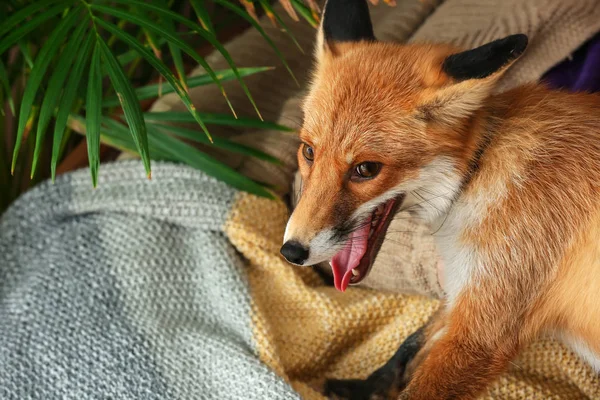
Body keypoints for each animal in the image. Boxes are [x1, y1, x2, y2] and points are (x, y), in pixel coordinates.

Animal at [278, 0, 600, 396]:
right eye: (308, 151)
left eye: (365, 169)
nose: (291, 251)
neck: (480, 164)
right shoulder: (467, 287)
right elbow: (409, 344)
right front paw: (365, 388)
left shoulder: (485, 325)